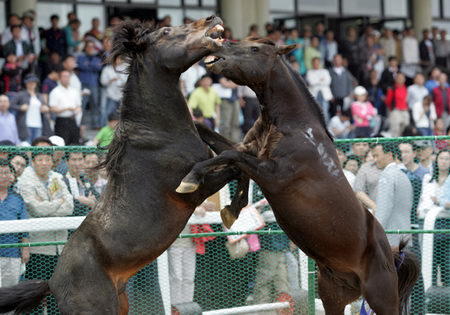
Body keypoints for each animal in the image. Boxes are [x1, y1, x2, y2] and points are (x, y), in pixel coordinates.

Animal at [178, 39, 420, 315]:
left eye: (254, 49)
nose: (219, 45)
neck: (295, 127)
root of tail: (392, 256)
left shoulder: (272, 175)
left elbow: (232, 157)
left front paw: (191, 179)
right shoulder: (249, 151)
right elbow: (226, 151)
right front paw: (233, 207)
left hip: (382, 299)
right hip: (333, 296)